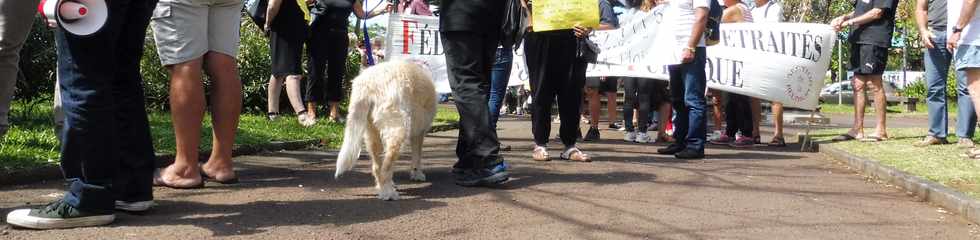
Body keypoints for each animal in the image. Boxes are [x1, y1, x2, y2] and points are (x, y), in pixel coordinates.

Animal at [334, 60, 436, 201]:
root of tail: (369, 85)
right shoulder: (420, 133)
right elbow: (417, 156)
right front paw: (417, 174)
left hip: (371, 133)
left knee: (377, 167)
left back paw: (382, 188)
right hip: (398, 131)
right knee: (386, 166)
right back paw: (388, 193)